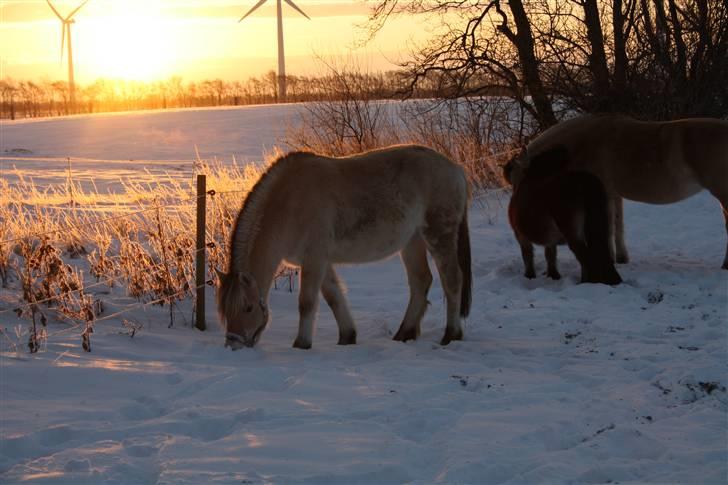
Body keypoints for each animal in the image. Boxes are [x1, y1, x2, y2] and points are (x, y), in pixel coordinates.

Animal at [216, 144, 474, 348]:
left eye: (248, 308)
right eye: (226, 310)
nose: (233, 345)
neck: (287, 204)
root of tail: (456, 169)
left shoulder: (315, 259)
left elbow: (307, 302)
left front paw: (301, 344)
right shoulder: (320, 260)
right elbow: (334, 296)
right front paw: (347, 337)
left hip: (439, 234)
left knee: (452, 280)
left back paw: (451, 335)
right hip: (413, 241)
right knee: (421, 281)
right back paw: (404, 334)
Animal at [506, 146, 620, 286]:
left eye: (511, 165)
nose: (505, 168)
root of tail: (582, 182)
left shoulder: (520, 235)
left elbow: (528, 256)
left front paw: (530, 276)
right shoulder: (550, 240)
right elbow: (550, 255)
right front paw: (553, 275)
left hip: (573, 235)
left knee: (586, 259)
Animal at [512, 115, 728, 270]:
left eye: (523, 179)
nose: (516, 216)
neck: (585, 143)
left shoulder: (605, 193)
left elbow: (608, 227)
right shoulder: (614, 195)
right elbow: (618, 225)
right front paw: (622, 258)